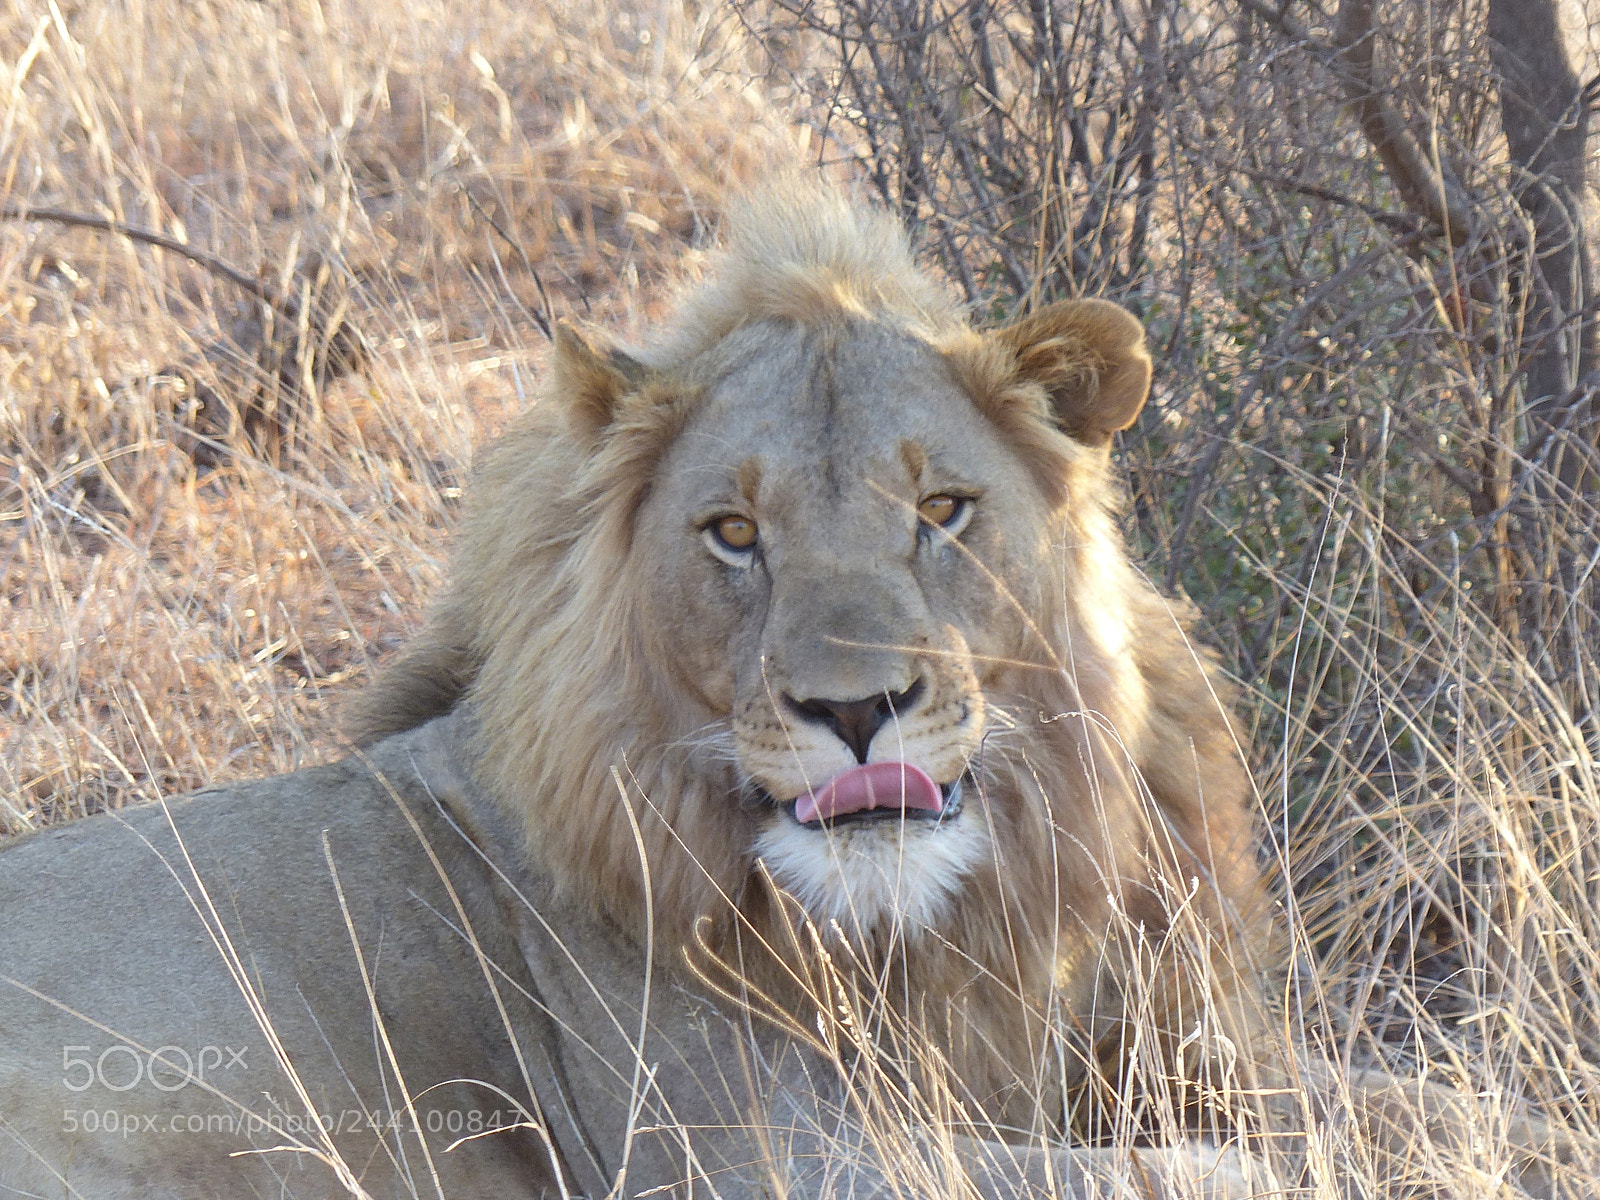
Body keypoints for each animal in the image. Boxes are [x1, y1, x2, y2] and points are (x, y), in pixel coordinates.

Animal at [0, 181, 1582, 1200]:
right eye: (733, 534)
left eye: (940, 511)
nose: (855, 711)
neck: (930, 936)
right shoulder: (751, 1156)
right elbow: (1182, 1174)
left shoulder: (1154, 1043)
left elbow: (1440, 1107)